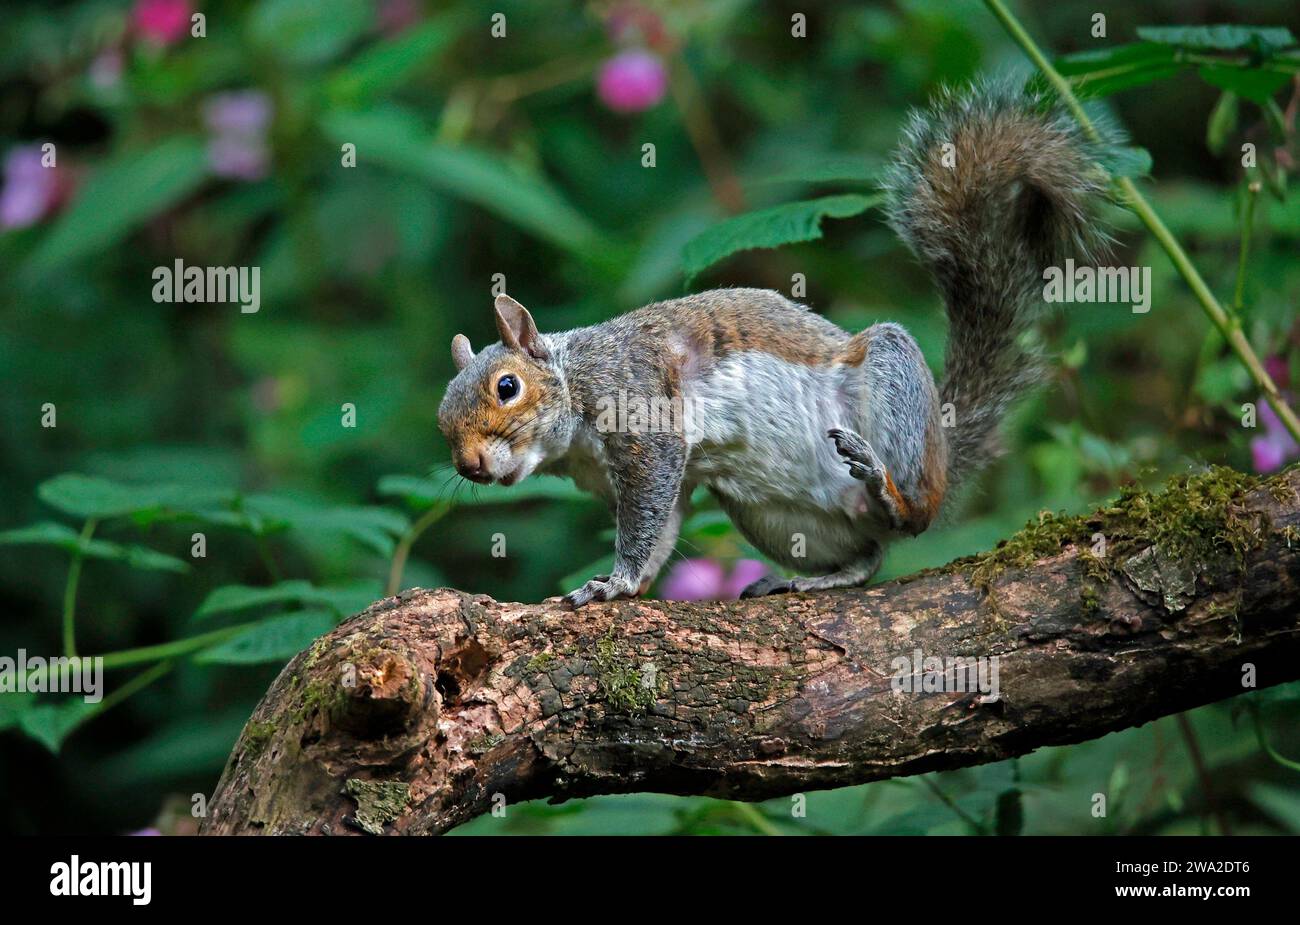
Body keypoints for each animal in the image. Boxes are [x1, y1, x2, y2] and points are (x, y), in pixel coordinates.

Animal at [441, 83, 1112, 608]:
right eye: (443, 416)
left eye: (507, 387)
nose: (468, 466)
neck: (576, 384)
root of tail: (941, 452)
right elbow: (662, 528)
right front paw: (629, 585)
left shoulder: (642, 415)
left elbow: (645, 521)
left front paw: (617, 580)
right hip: (767, 512)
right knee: (871, 553)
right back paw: (819, 575)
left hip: (892, 381)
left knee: (914, 519)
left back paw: (888, 488)